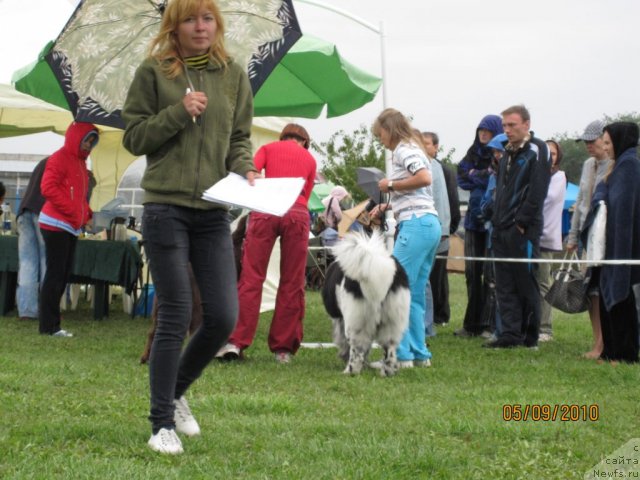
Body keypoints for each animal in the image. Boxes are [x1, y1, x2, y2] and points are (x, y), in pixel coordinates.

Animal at [320, 231, 410, 376]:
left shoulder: (340, 318)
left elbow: (344, 342)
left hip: (355, 319)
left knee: (356, 348)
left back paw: (350, 372)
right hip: (393, 319)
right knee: (389, 348)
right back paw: (387, 372)